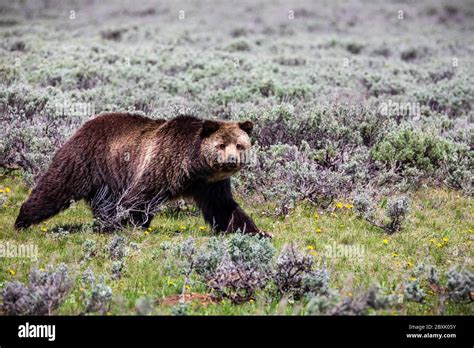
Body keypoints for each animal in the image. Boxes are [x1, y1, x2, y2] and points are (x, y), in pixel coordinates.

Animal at [13, 113, 270, 238]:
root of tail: (85, 124)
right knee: (56, 187)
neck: (194, 166)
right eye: (221, 145)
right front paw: (128, 224)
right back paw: (22, 220)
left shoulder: (210, 184)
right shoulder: (163, 163)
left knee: (103, 202)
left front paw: (258, 232)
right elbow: (140, 197)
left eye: (239, 145)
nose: (231, 160)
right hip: (86, 159)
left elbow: (224, 207)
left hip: (109, 177)